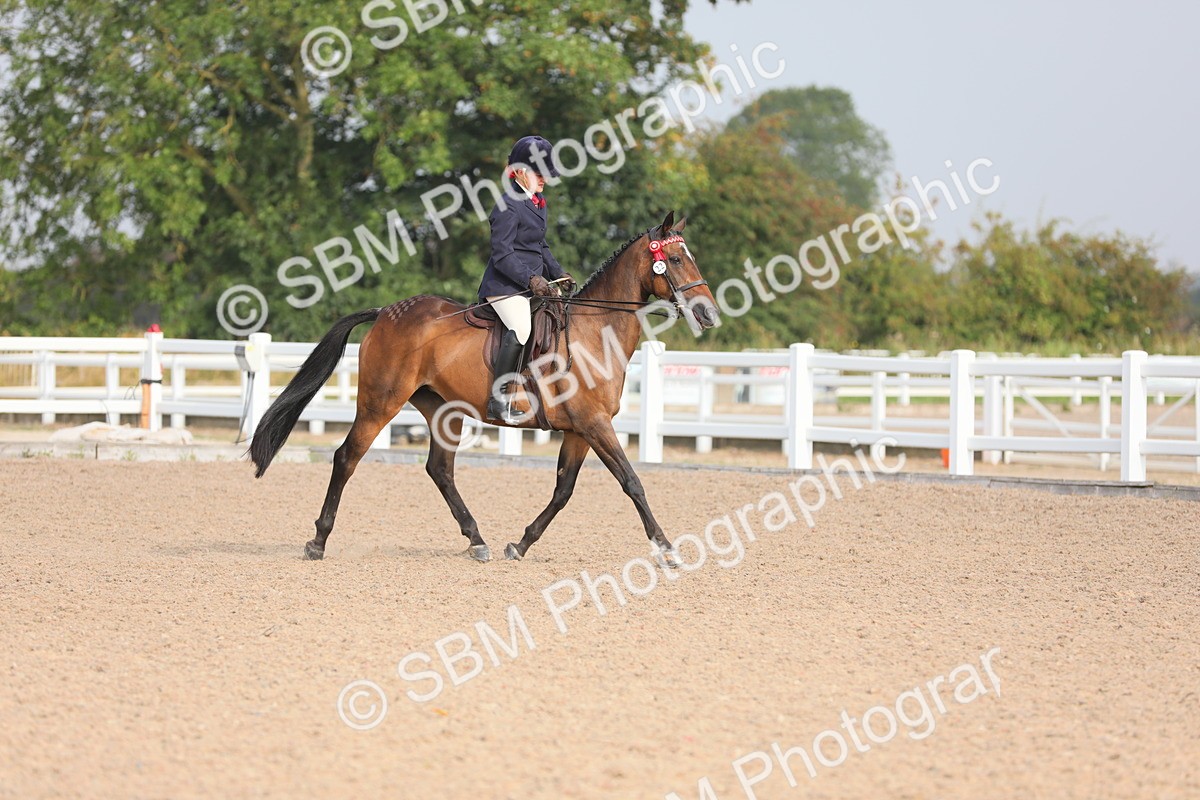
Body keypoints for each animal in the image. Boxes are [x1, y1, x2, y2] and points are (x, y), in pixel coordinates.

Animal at [249, 210, 721, 563]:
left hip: (443, 411)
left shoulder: (579, 430)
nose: (709, 314)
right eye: (675, 260)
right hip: (380, 404)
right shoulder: (594, 424)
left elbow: (563, 491)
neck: (594, 332)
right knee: (347, 457)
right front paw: (667, 548)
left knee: (440, 469)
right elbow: (631, 481)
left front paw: (521, 543)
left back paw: (477, 540)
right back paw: (318, 541)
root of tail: (386, 312)